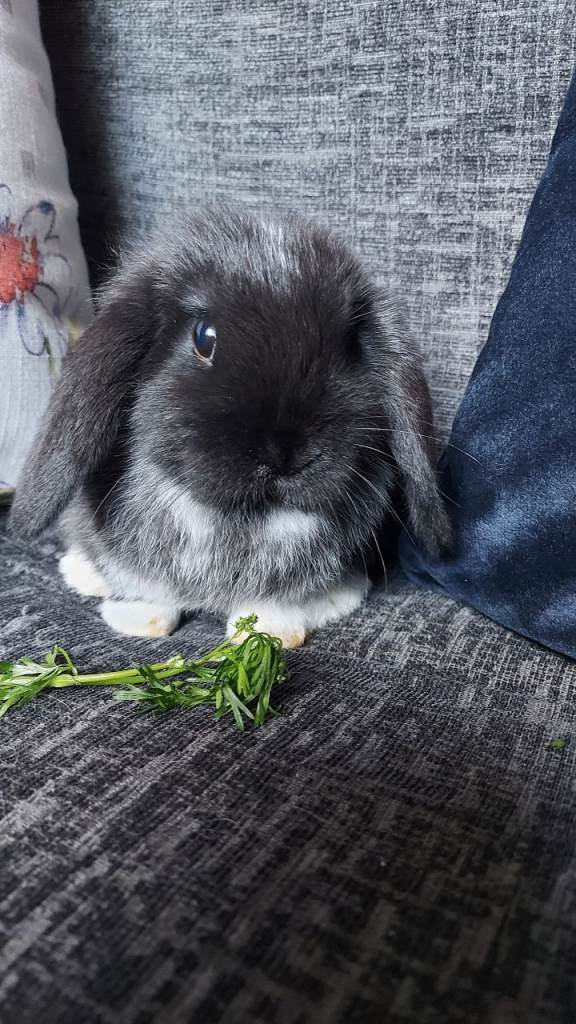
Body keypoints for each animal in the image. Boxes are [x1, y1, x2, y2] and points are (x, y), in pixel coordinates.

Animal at [10, 207, 451, 648]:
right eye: (204, 337)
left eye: (349, 347)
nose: (287, 454)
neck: (238, 521)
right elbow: (151, 590)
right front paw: (138, 619)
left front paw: (274, 631)